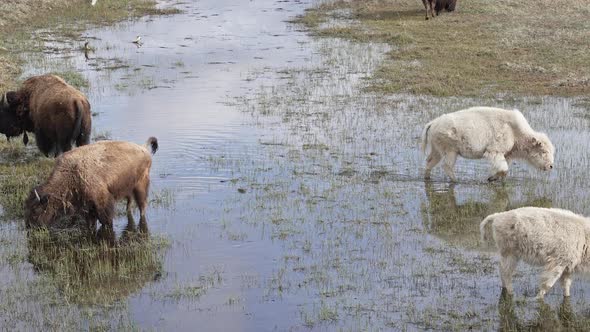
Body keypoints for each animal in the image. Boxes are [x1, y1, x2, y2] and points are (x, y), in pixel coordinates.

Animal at [25, 137, 160, 228]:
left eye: (36, 210)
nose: (29, 226)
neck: (71, 173)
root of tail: (143, 148)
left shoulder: (102, 202)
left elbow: (106, 219)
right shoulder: (87, 205)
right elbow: (91, 220)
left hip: (141, 186)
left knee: (142, 205)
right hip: (127, 188)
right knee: (129, 203)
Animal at [420, 107, 556, 182]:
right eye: (543, 151)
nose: (550, 166)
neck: (514, 130)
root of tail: (433, 123)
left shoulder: (506, 155)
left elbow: (502, 169)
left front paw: (492, 178)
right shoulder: (495, 152)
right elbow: (504, 168)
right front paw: (492, 178)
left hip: (437, 151)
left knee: (429, 162)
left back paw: (427, 178)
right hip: (450, 151)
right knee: (447, 166)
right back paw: (455, 180)